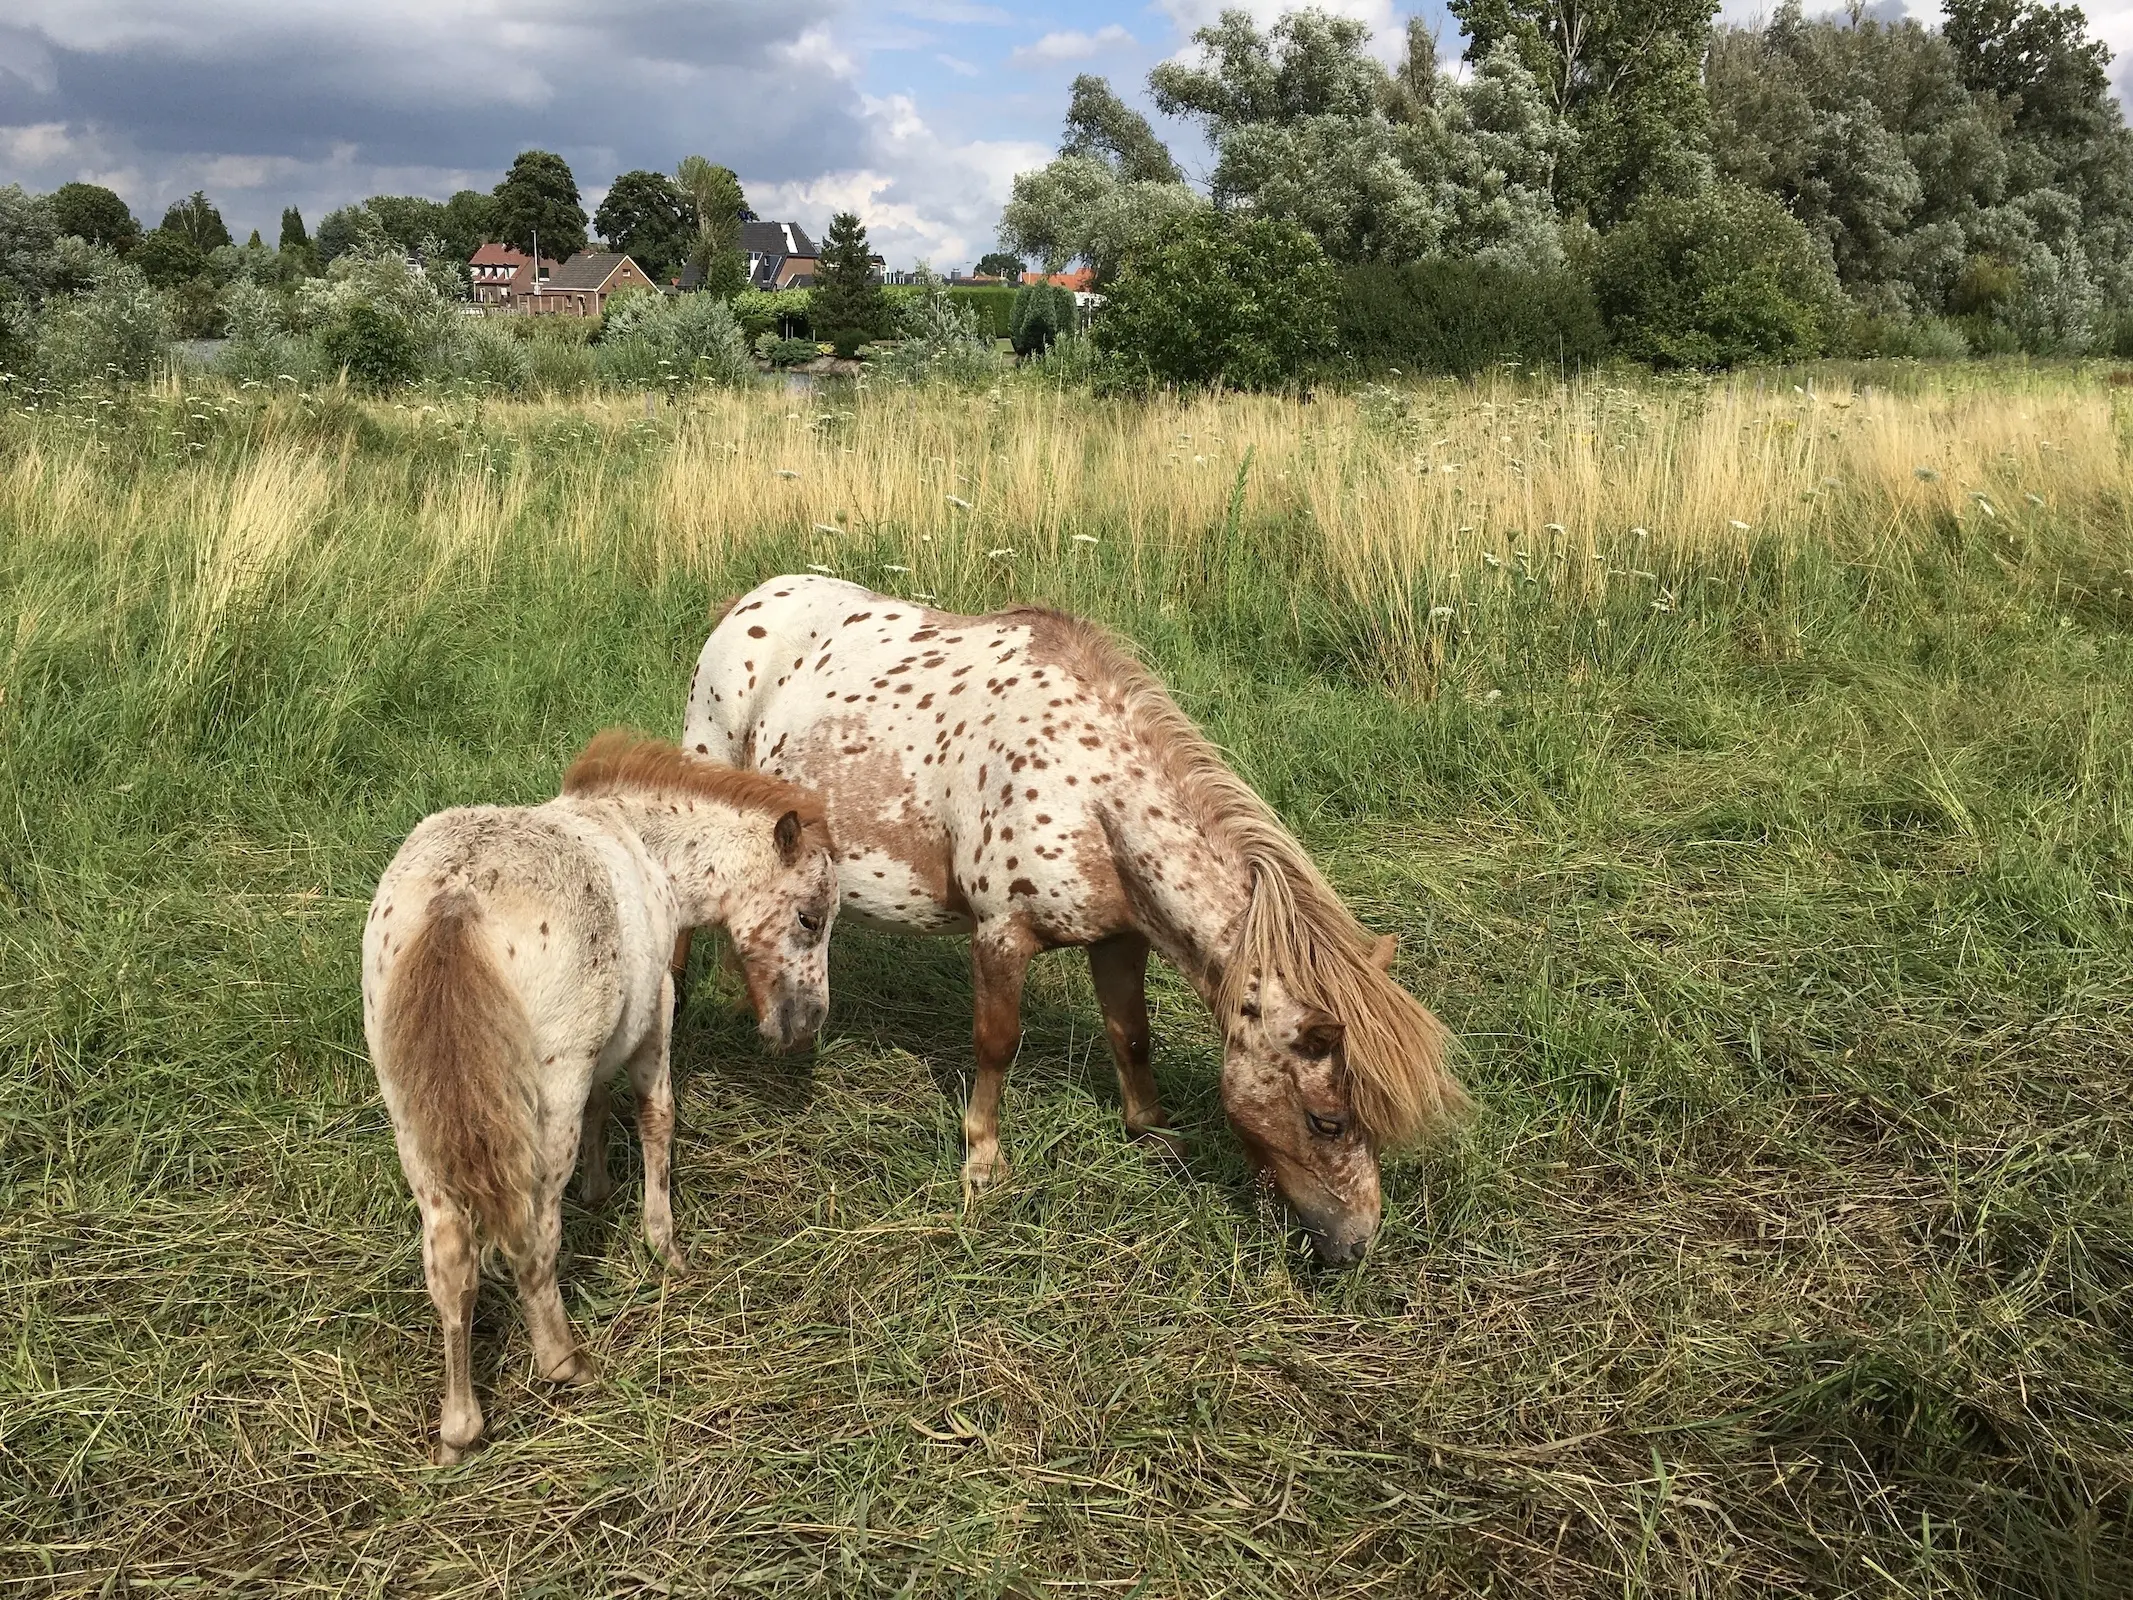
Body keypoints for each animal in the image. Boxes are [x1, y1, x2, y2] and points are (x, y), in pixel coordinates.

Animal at [362, 733, 836, 1459]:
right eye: (810, 918)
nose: (807, 1022)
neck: (647, 847)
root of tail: (456, 901)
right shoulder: (655, 1014)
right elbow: (655, 1119)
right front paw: (663, 1246)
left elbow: (600, 1108)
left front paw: (598, 1189)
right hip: (542, 1101)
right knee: (533, 1236)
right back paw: (565, 1362)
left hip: (415, 1119)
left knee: (449, 1257)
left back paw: (459, 1429)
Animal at [682, 576, 1467, 1262]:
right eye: (1326, 1120)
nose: (1355, 1246)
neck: (1086, 788)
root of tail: (747, 603)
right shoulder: (1001, 934)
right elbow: (996, 1044)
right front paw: (982, 1165)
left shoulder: (1120, 938)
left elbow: (1132, 1036)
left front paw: (1151, 1131)